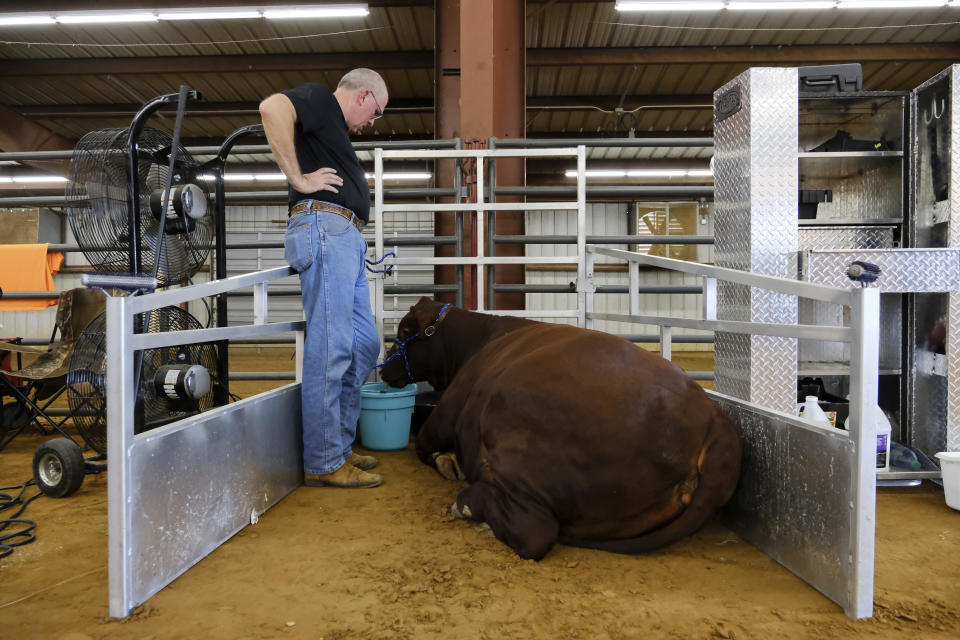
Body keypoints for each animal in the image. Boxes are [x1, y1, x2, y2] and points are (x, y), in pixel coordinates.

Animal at [378, 298, 740, 556]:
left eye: (404, 332)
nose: (383, 370)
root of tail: (716, 422)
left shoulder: (446, 413)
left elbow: (424, 442)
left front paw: (445, 460)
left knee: (534, 532)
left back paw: (468, 505)